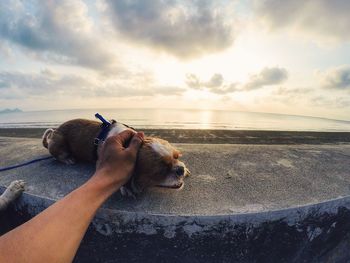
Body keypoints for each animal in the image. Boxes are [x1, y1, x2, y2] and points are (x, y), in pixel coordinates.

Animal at [42, 119, 190, 198]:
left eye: (176, 156)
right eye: (160, 171)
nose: (180, 169)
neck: (128, 142)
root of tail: (55, 131)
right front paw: (127, 188)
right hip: (59, 143)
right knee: (59, 155)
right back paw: (68, 159)